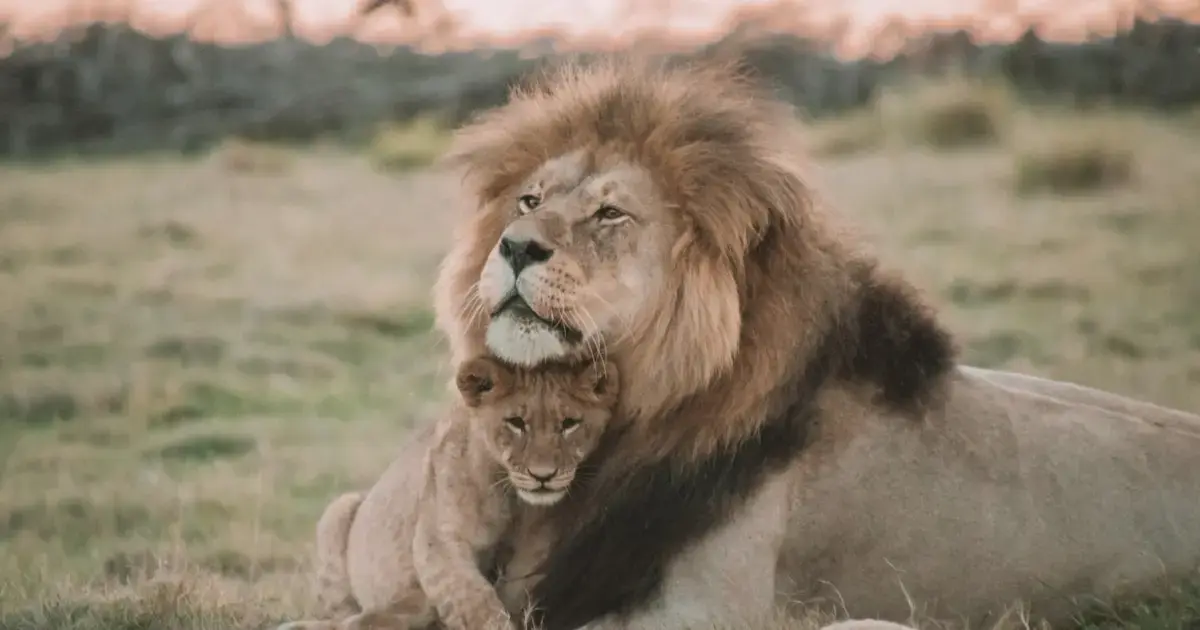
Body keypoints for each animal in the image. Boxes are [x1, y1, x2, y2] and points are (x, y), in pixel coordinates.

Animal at [277, 357, 618, 630]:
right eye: (516, 422)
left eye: (570, 423)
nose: (543, 476)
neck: (515, 502)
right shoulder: (439, 539)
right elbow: (475, 600)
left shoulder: (539, 554)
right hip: (338, 510)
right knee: (341, 612)